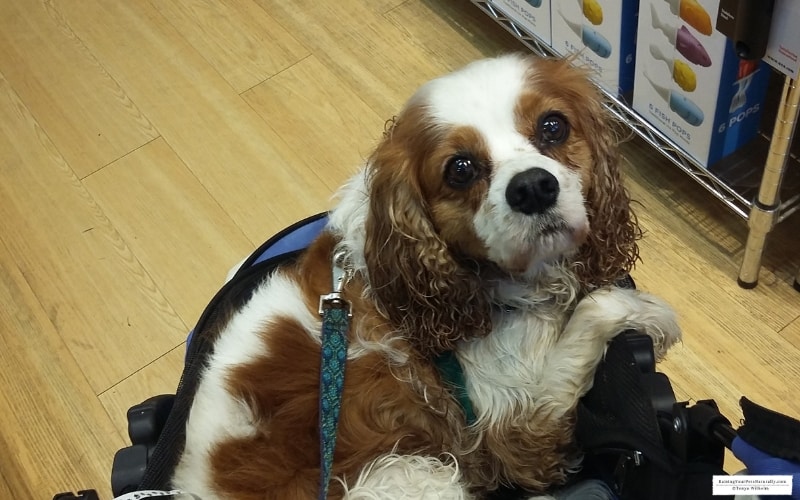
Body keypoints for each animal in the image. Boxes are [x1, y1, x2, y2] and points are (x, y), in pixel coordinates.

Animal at [172, 54, 680, 500]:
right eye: (461, 169)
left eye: (554, 127)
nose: (533, 187)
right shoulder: (519, 434)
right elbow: (597, 308)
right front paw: (651, 314)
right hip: (416, 474)